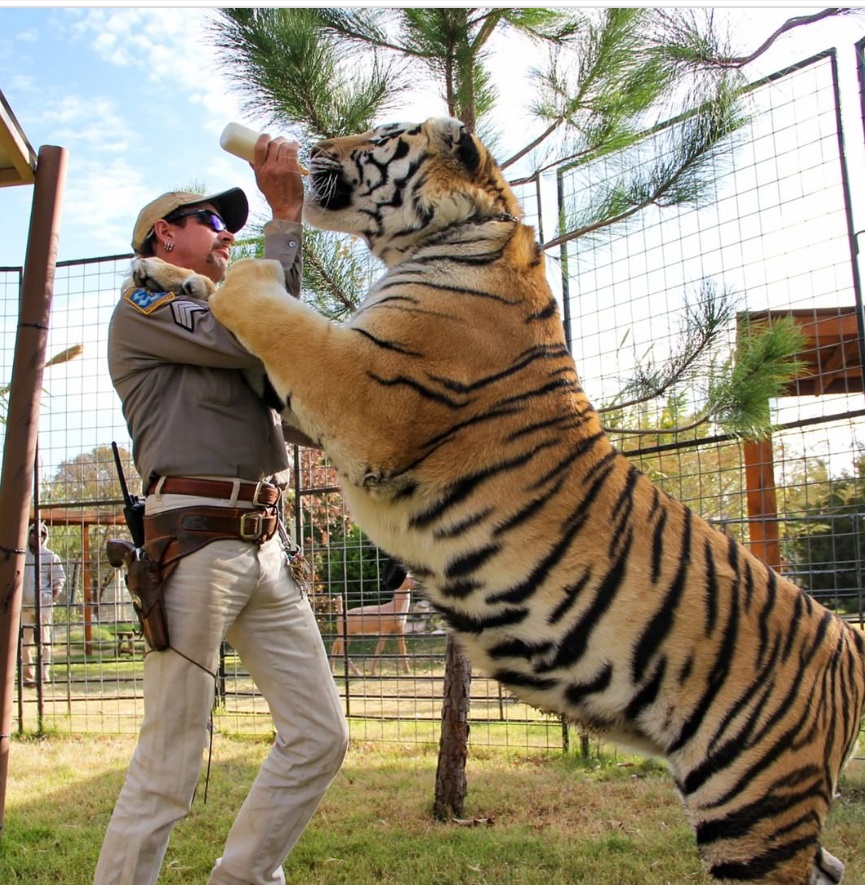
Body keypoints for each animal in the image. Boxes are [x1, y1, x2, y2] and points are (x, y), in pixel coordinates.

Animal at [134, 116, 865, 884]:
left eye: (383, 133)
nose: (312, 148)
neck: (448, 235)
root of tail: (849, 640)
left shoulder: (363, 390)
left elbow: (271, 310)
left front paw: (240, 270)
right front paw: (165, 273)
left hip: (751, 802)